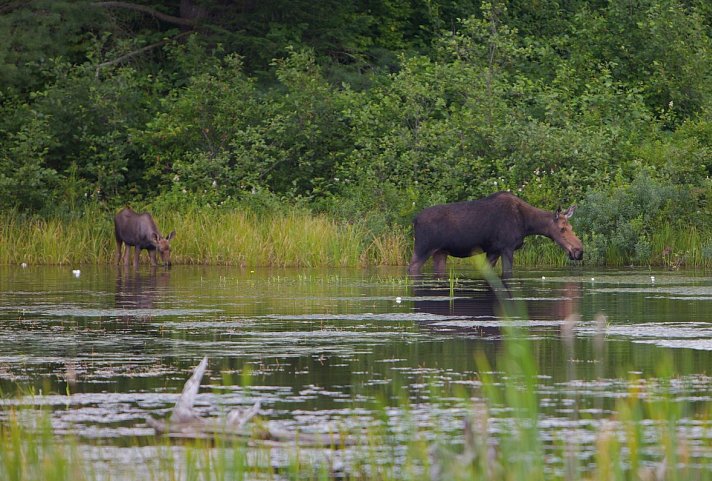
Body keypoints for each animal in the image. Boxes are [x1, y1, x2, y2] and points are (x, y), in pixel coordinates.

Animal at [408, 189, 580, 276]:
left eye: (571, 227)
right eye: (562, 229)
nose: (579, 251)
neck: (527, 225)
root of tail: (414, 220)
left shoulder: (493, 250)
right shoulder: (507, 248)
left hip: (440, 252)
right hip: (422, 249)